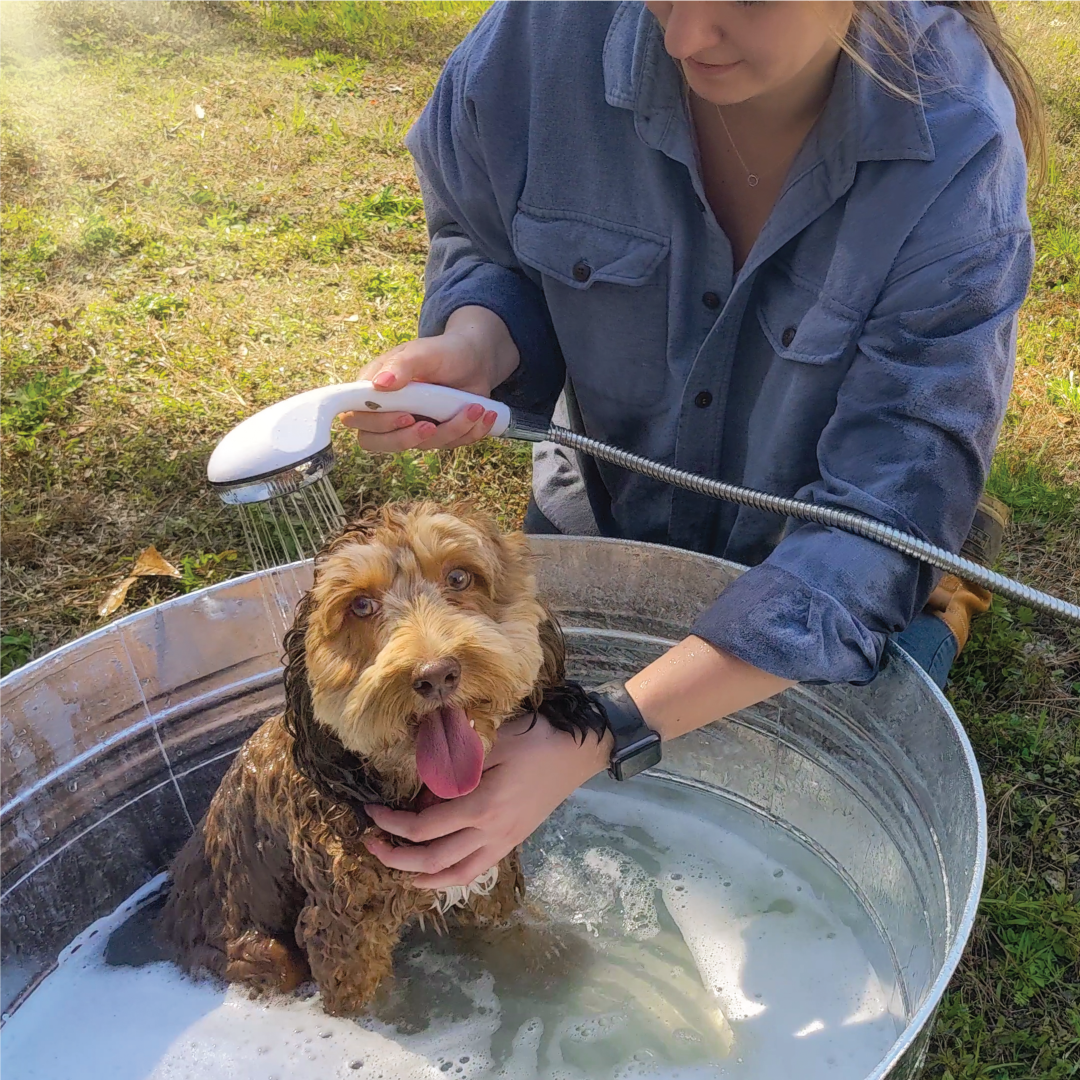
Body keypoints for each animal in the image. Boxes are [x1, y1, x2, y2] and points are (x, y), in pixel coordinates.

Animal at [157, 501, 609, 1015]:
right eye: (360, 605)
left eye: (459, 577)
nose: (436, 675)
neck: (407, 788)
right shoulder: (343, 930)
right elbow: (367, 1006)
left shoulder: (485, 880)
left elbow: (514, 935)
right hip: (264, 953)